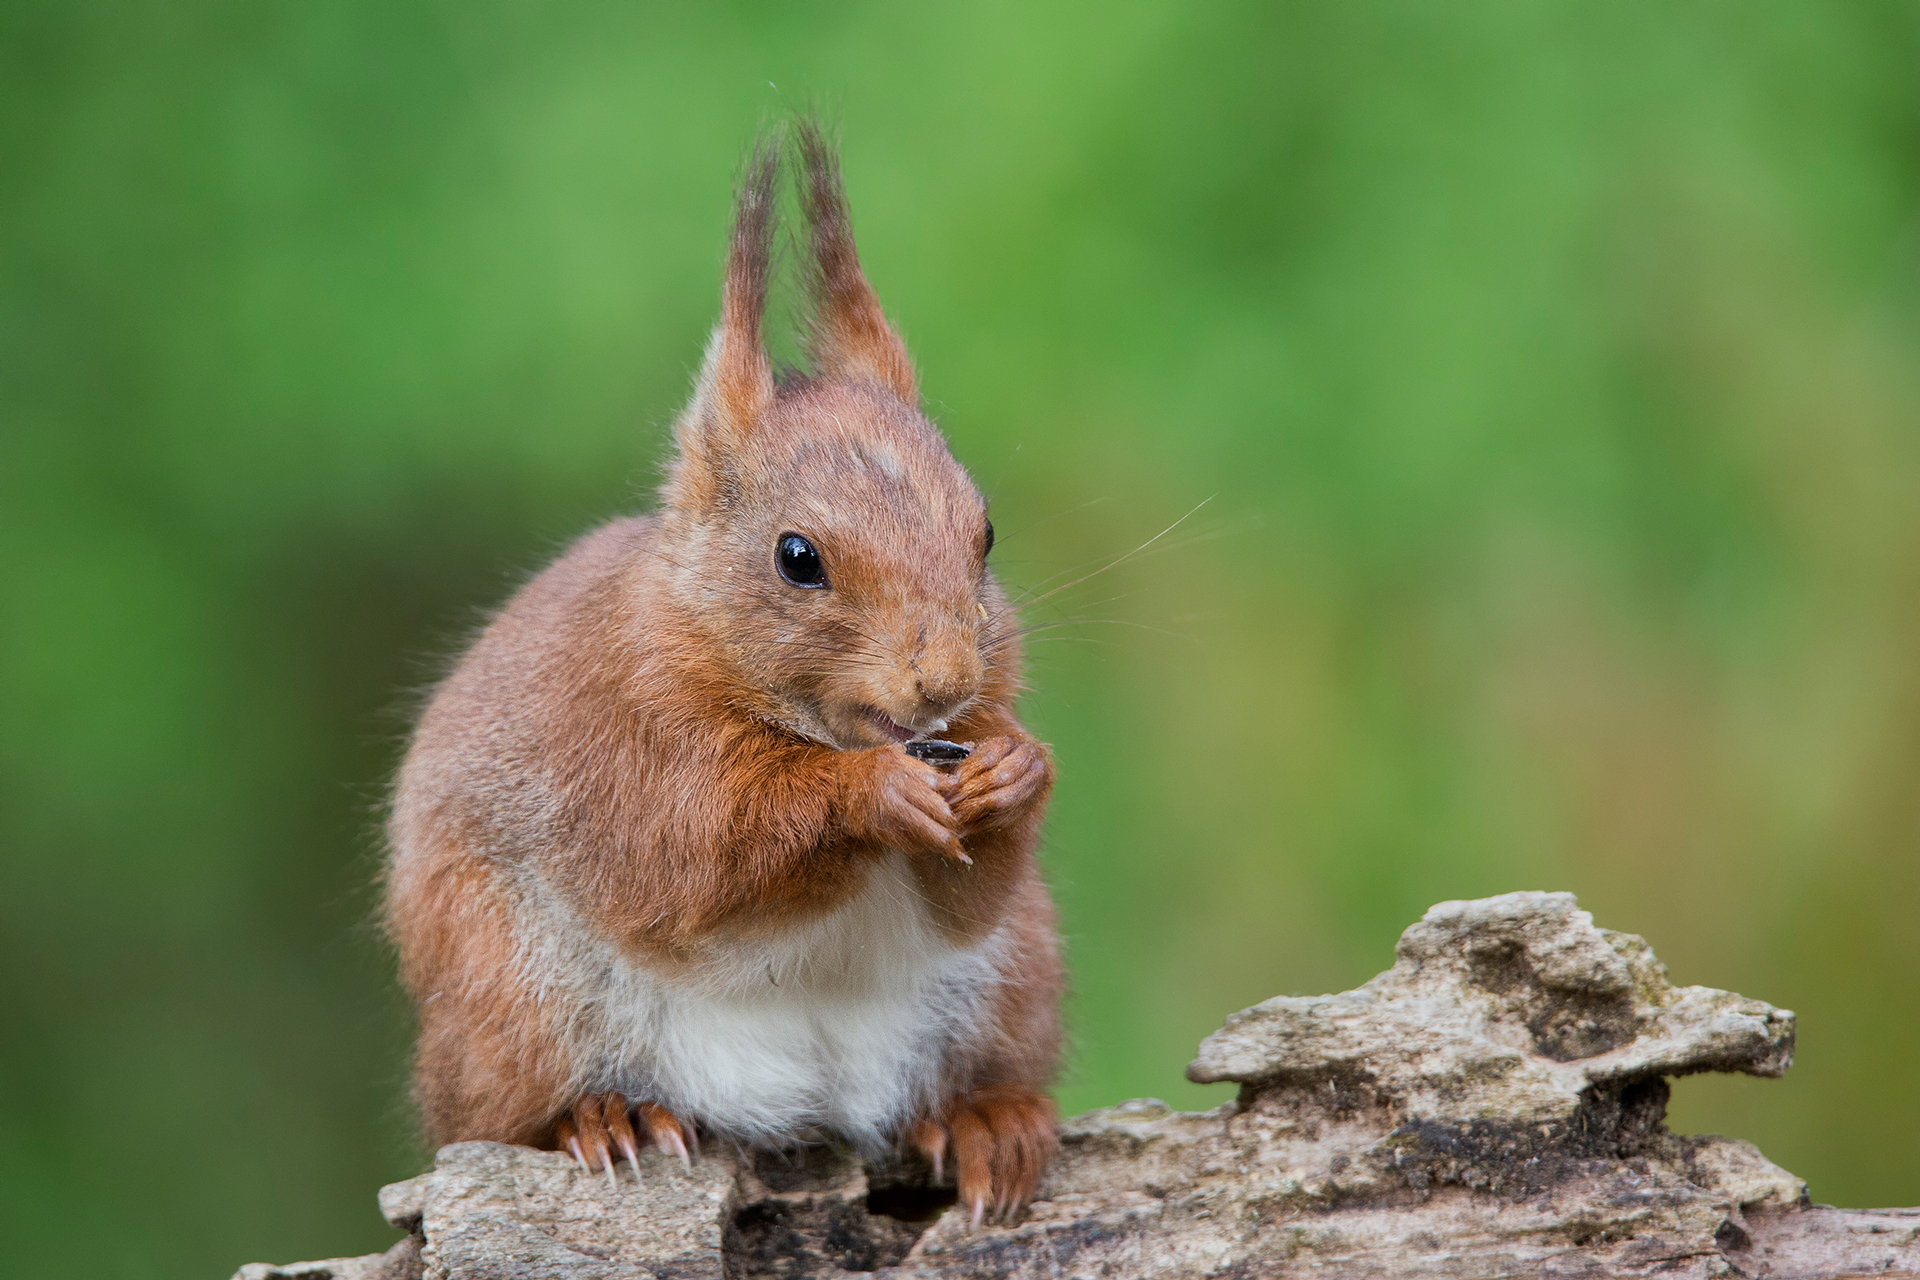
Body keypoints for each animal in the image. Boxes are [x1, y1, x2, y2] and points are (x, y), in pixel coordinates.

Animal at [384, 121, 1063, 1224]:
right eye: (797, 557)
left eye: (988, 532)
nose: (946, 683)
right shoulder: (622, 745)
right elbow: (702, 850)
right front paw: (870, 793)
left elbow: (972, 894)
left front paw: (1017, 771)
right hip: (507, 993)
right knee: (502, 1112)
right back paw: (601, 1117)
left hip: (1015, 978)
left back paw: (986, 1119)